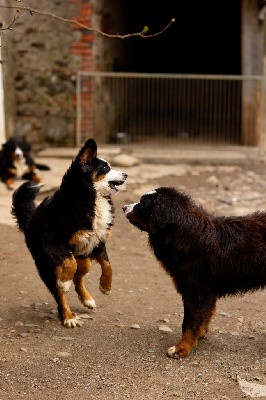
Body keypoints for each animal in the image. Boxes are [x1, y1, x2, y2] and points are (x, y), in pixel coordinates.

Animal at [12, 139, 128, 326]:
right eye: (105, 168)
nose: (126, 175)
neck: (89, 197)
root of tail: (30, 219)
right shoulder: (54, 241)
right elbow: (70, 263)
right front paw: (64, 282)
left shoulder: (98, 242)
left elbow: (108, 265)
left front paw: (105, 286)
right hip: (48, 267)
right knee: (59, 293)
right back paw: (68, 316)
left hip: (85, 259)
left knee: (78, 278)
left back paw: (87, 299)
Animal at [122, 188, 266, 360]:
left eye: (142, 204)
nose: (124, 207)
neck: (184, 234)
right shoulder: (206, 291)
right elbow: (203, 316)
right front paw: (199, 334)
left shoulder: (195, 291)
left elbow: (189, 323)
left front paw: (181, 348)